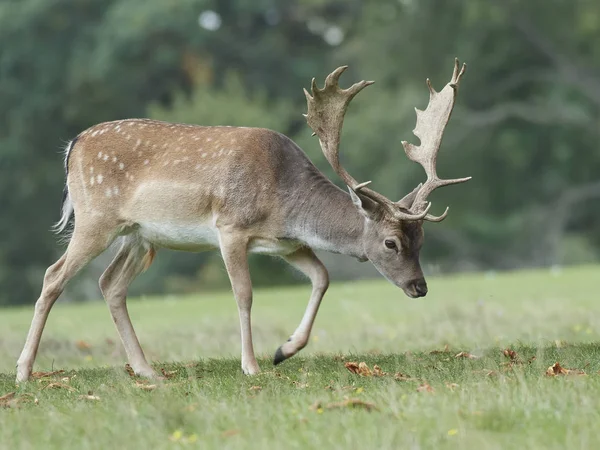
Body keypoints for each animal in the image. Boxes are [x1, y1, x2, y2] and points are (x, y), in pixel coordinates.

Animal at [15, 55, 468, 380]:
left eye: (421, 241)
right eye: (391, 242)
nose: (420, 287)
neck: (285, 201)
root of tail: (73, 145)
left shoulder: (286, 243)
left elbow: (322, 277)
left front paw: (284, 350)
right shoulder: (230, 228)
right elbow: (244, 294)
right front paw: (250, 366)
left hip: (139, 236)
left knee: (110, 285)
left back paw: (147, 371)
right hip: (96, 218)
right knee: (54, 276)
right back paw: (24, 370)